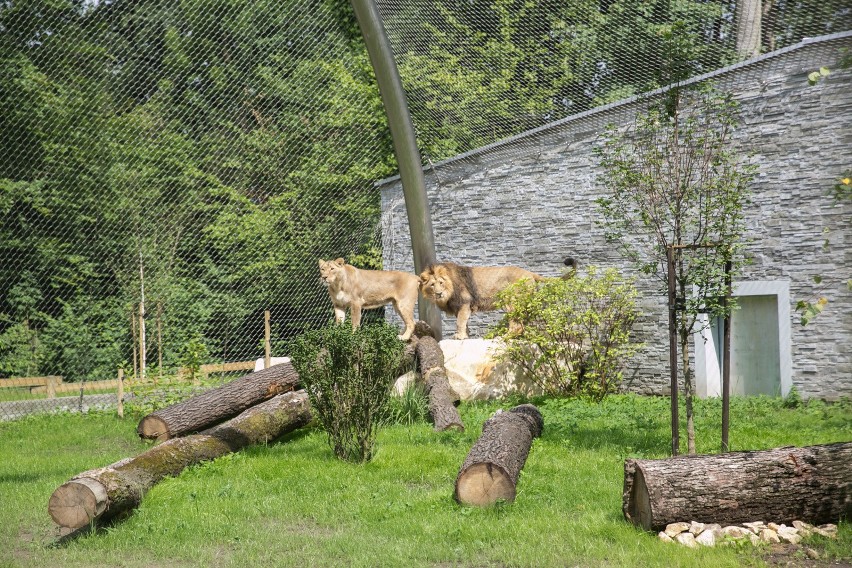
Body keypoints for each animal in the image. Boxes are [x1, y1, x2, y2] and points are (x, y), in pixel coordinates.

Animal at [420, 258, 580, 342]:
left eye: (441, 283)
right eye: (432, 285)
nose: (439, 294)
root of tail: (530, 273)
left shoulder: (464, 303)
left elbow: (460, 322)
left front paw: (458, 336)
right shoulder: (462, 308)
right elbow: (466, 324)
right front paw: (466, 336)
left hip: (510, 301)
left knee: (517, 325)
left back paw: (504, 336)